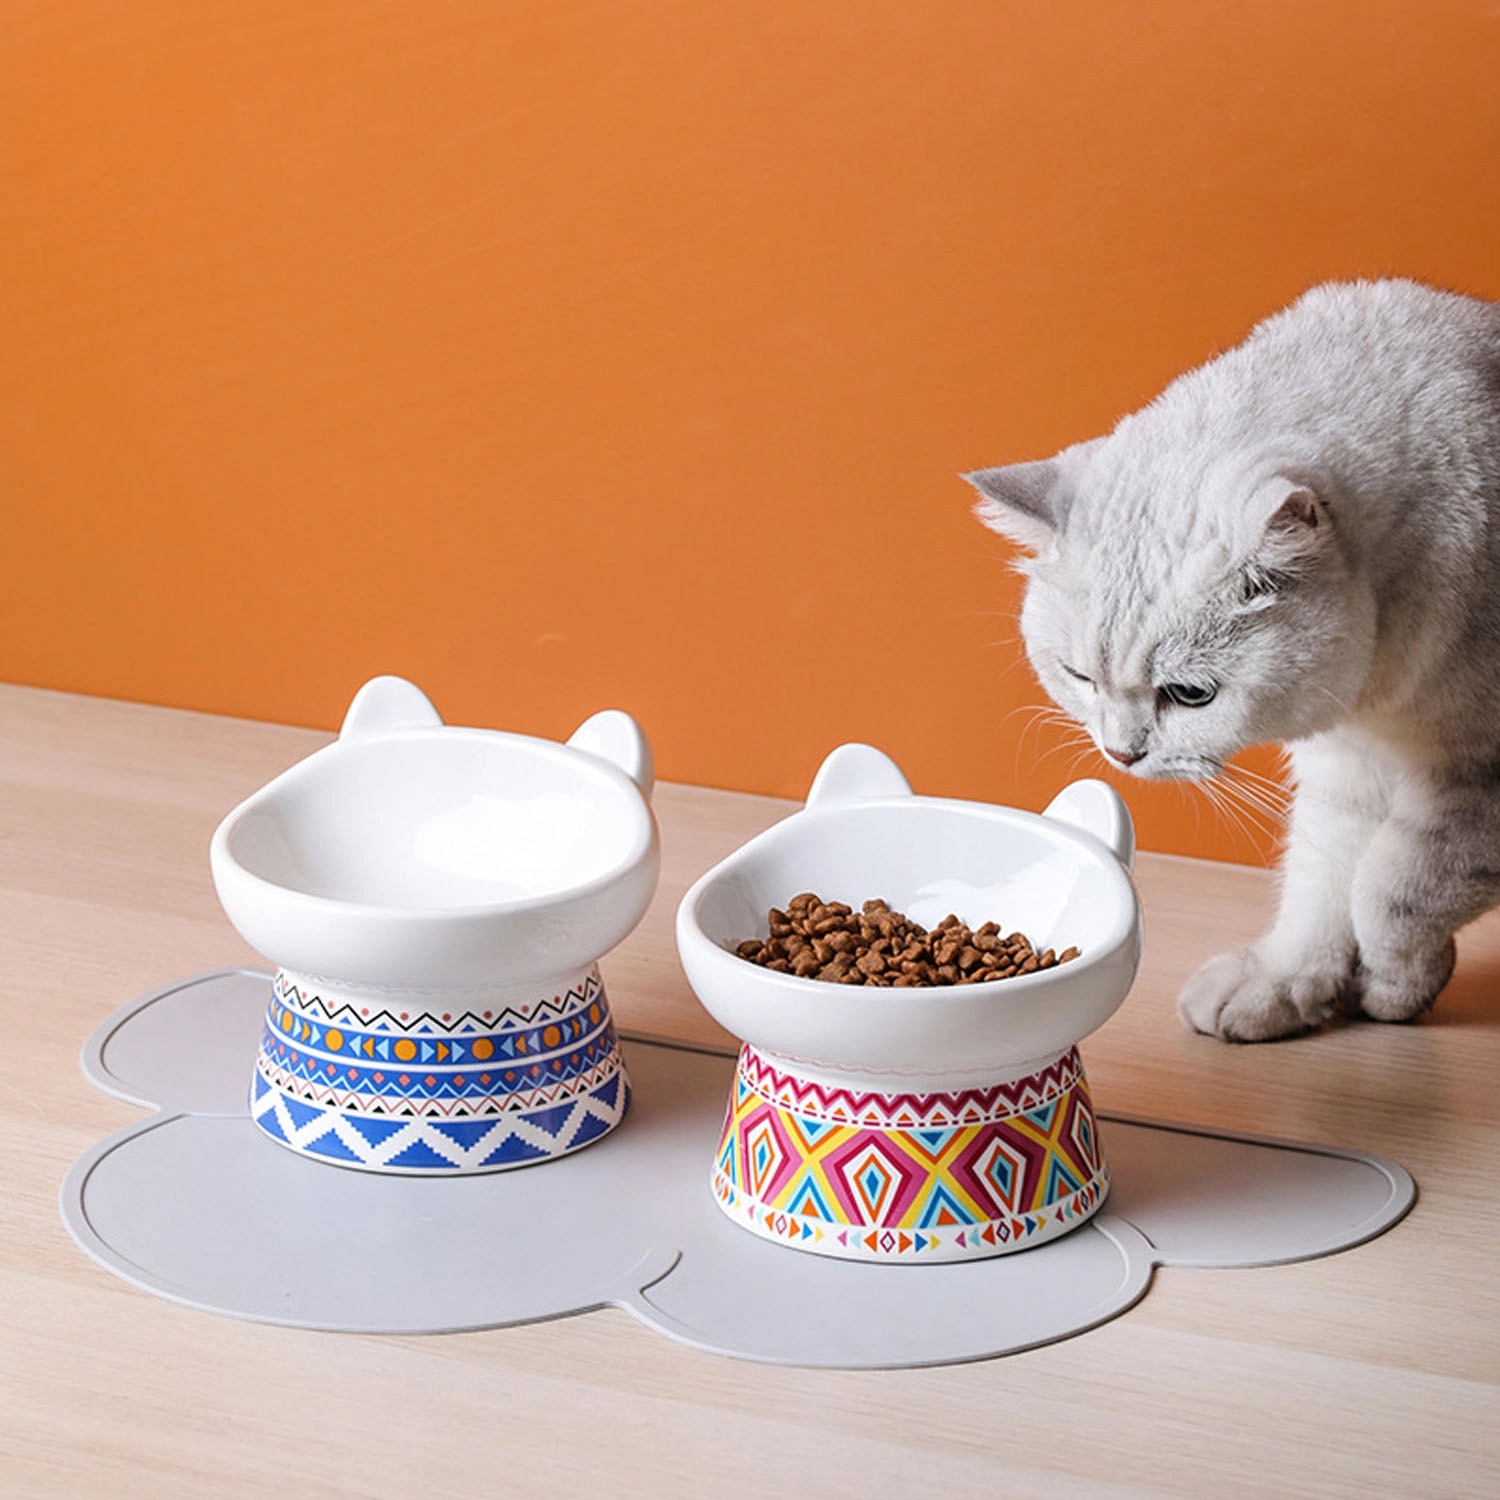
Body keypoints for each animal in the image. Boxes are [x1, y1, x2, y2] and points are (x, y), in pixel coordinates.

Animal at [966, 278, 1500, 1041]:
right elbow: (1322, 883)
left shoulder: (1475, 781)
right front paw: (1282, 987)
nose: (1121, 755)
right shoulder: (1348, 766)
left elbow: (1394, 886)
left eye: (1192, 696)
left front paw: (1395, 987)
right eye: (1080, 678)